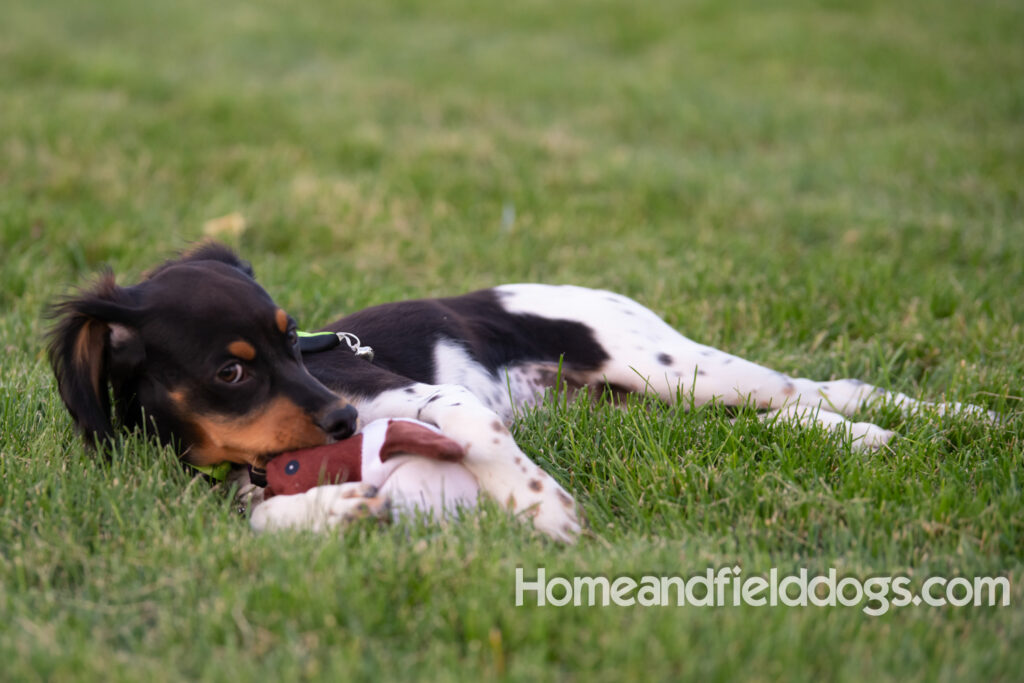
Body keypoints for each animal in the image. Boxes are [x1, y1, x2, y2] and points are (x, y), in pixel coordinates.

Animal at [48, 242, 991, 540]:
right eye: (233, 370)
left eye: (295, 338)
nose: (342, 418)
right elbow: (264, 516)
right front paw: (342, 507)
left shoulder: (422, 397)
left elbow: (487, 441)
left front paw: (550, 516)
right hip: (655, 405)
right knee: (783, 415)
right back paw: (883, 438)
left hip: (669, 367)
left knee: (824, 386)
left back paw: (954, 417)